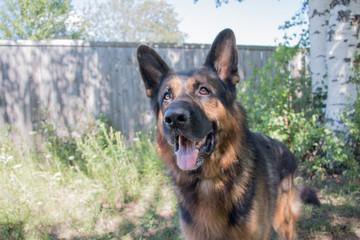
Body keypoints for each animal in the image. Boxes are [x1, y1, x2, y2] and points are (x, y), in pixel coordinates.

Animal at [136, 29, 320, 239]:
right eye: (167, 96)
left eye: (203, 91)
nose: (173, 118)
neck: (209, 181)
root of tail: (286, 149)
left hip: (283, 223)